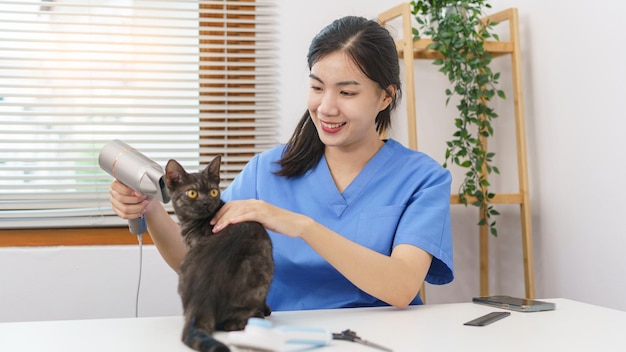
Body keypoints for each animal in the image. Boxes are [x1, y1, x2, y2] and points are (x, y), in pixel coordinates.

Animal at [163, 157, 272, 352]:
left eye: (213, 192)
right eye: (192, 193)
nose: (207, 202)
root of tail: (202, 298)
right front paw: (266, 309)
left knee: (230, 324)